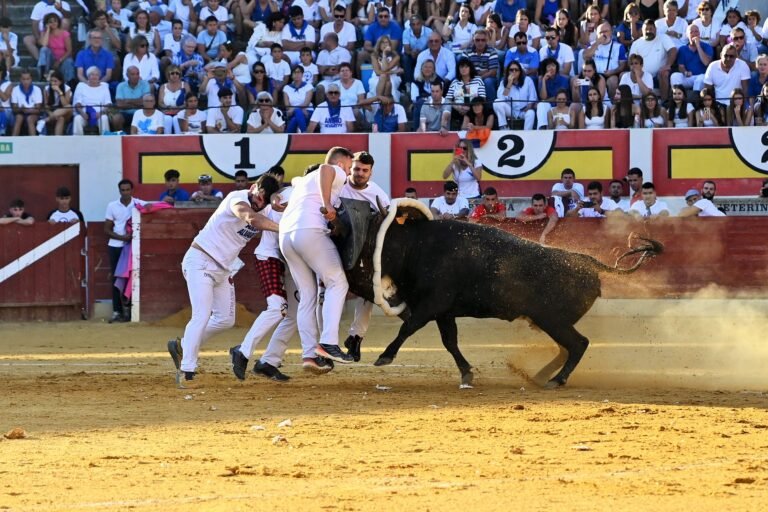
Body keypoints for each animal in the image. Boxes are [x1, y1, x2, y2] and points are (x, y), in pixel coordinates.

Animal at [334, 197, 663, 389]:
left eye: (375, 234)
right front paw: (467, 373)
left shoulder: (432, 305)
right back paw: (540, 376)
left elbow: (408, 328)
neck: (417, 245)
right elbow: (449, 342)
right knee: (567, 347)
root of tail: (589, 263)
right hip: (549, 321)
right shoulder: (444, 312)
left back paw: (556, 381)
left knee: (578, 344)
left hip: (552, 319)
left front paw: (384, 357)